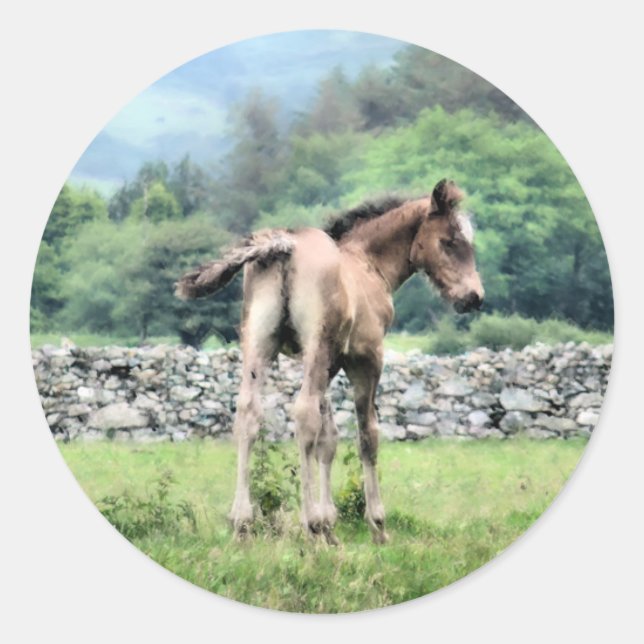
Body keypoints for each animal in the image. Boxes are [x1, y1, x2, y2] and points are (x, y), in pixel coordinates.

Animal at [176, 179, 484, 544]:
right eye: (449, 241)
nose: (473, 297)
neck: (368, 263)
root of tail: (285, 245)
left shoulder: (326, 362)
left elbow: (329, 439)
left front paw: (329, 527)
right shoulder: (365, 358)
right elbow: (366, 434)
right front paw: (375, 525)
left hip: (259, 342)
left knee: (249, 412)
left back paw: (242, 523)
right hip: (316, 344)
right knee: (303, 413)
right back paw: (307, 524)